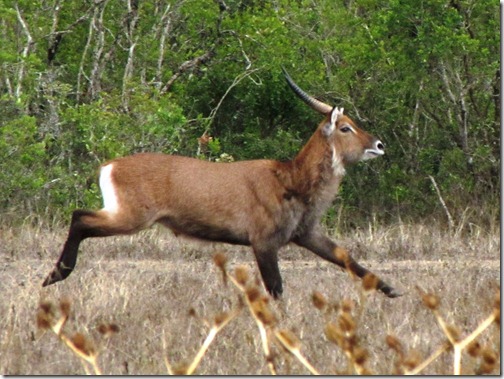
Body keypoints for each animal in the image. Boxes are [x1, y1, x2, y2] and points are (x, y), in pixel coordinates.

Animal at [42, 68, 402, 300]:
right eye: (345, 127)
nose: (380, 144)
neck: (290, 178)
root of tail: (109, 165)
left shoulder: (307, 234)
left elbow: (347, 258)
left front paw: (392, 290)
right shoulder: (263, 243)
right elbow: (276, 290)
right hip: (131, 218)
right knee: (79, 217)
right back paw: (55, 276)